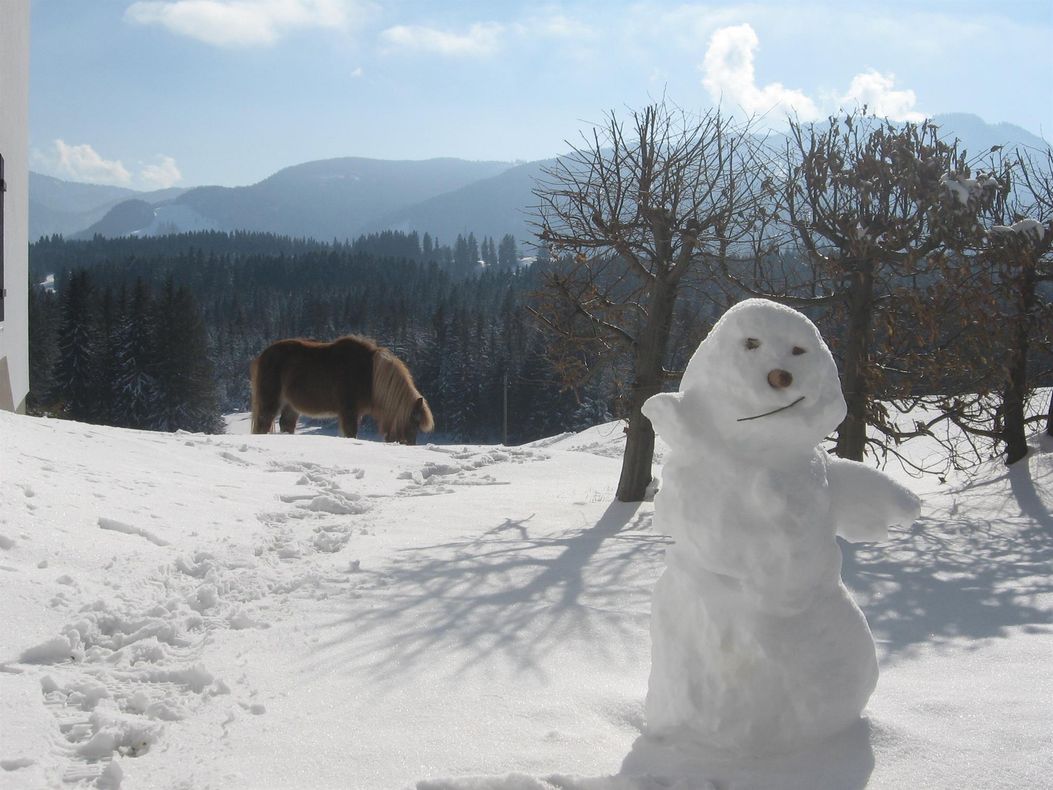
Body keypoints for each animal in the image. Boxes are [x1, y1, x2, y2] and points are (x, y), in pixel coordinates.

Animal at [250, 335, 434, 444]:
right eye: (413, 423)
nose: (409, 444)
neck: (369, 374)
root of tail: (264, 354)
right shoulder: (349, 411)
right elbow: (351, 433)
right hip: (270, 401)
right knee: (263, 424)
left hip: (291, 406)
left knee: (286, 423)